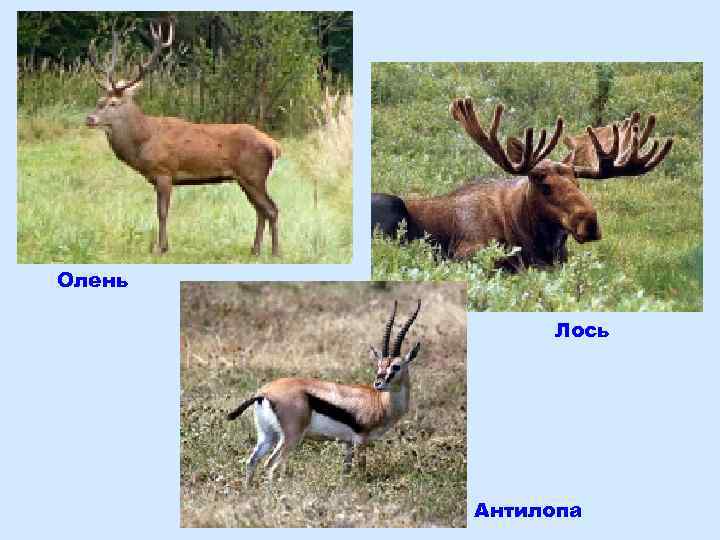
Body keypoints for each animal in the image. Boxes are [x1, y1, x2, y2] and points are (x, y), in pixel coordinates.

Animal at [85, 21, 282, 256]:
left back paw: (275, 252)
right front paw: (163, 246)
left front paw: (160, 248)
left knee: (272, 209)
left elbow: (162, 212)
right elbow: (160, 210)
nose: (89, 118)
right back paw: (255, 250)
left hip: (253, 174)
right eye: (99, 100)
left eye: (114, 103)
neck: (144, 141)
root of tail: (275, 146)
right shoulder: (156, 178)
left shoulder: (164, 171)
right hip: (247, 178)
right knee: (261, 210)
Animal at [226, 300, 422, 485]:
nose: (378, 383)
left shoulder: (348, 444)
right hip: (290, 438)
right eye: (380, 365)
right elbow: (361, 469)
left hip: (267, 436)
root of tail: (264, 393)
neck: (380, 402)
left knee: (251, 462)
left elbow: (346, 471)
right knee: (271, 465)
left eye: (395, 366)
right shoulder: (361, 441)